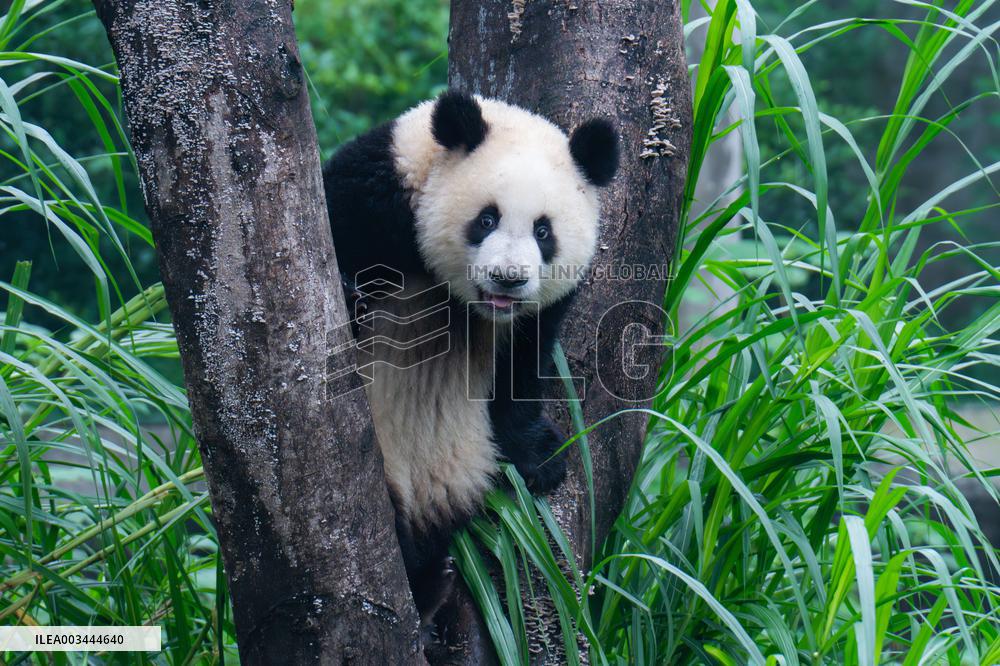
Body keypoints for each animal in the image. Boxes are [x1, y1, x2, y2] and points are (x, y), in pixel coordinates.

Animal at [323, 91, 618, 626]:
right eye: (487, 219)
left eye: (544, 232)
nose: (508, 278)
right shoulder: (373, 194)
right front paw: (351, 293)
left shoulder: (539, 311)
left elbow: (524, 365)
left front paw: (540, 456)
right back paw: (423, 588)